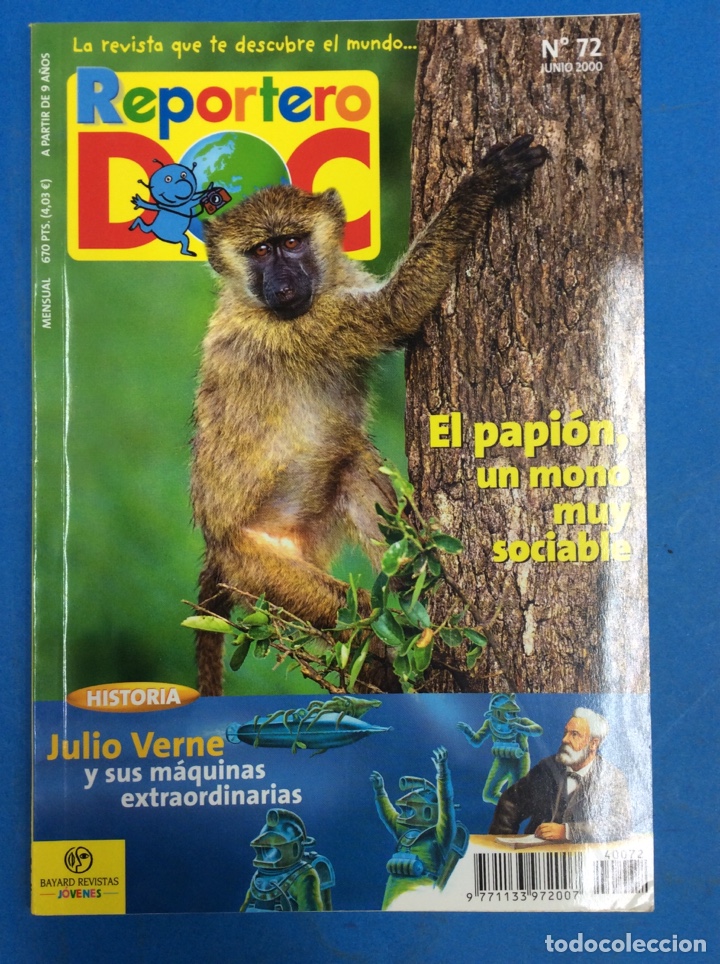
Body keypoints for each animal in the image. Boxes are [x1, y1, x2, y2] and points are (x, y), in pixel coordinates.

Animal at [191, 134, 547, 696]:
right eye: (260, 251)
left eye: (292, 242)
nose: (283, 286)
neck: (255, 303)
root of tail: (216, 549)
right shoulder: (308, 325)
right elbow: (397, 313)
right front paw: (482, 184)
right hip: (261, 568)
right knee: (357, 615)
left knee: (354, 463)